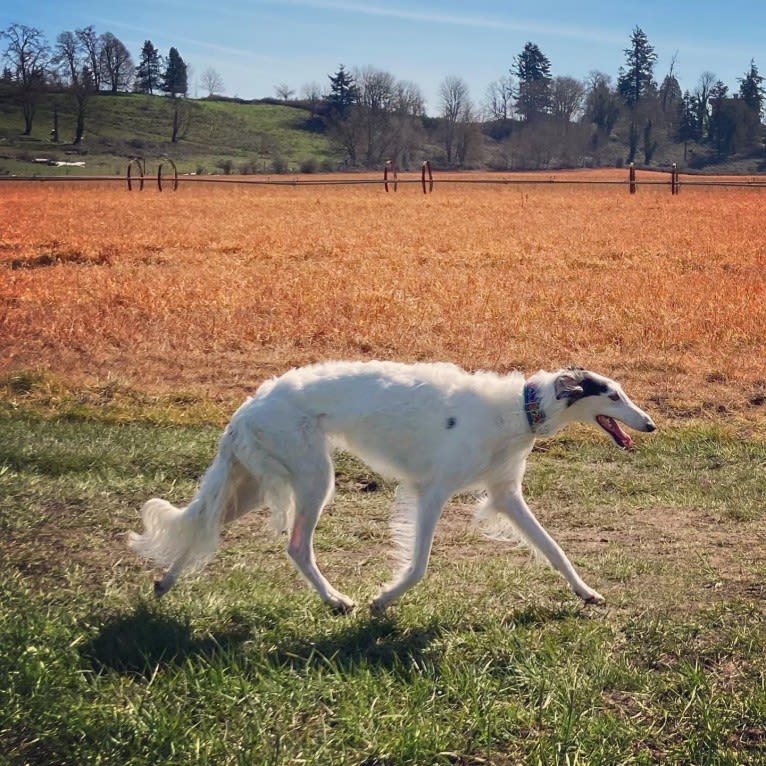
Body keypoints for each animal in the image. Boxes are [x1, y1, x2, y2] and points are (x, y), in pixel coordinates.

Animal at [129, 364, 656, 616]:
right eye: (612, 394)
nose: (650, 424)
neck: (519, 409)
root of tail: (249, 404)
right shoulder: (432, 492)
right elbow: (418, 565)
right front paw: (383, 600)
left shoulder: (506, 494)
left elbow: (555, 550)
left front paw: (586, 593)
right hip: (312, 478)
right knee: (296, 546)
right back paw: (336, 600)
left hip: (257, 484)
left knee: (204, 526)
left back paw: (164, 583)